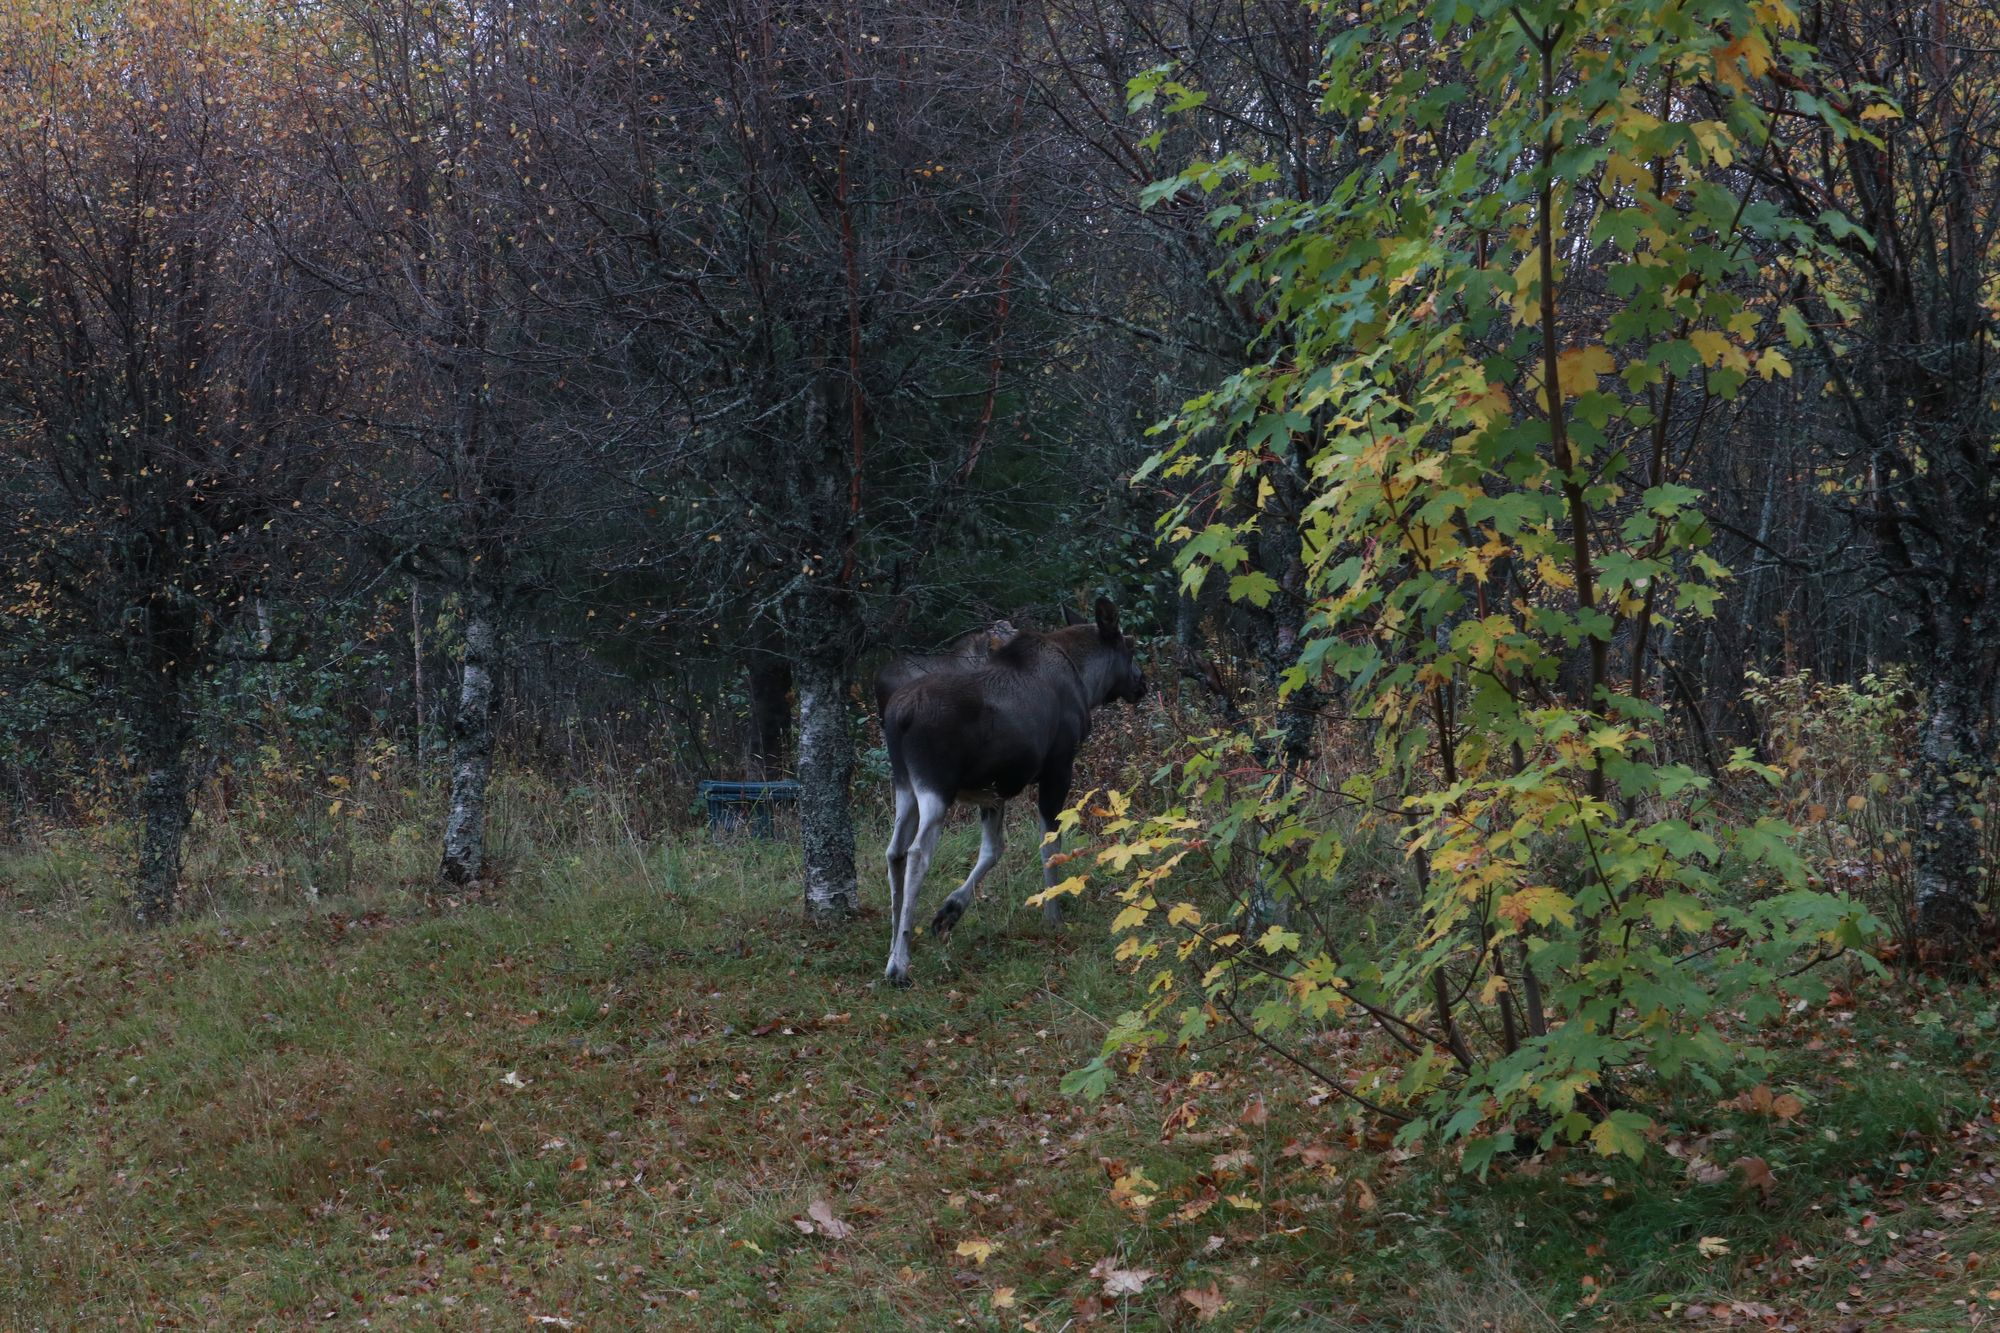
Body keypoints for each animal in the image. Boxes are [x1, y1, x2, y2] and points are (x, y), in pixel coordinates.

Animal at [876, 596, 1144, 980]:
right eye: (1131, 644)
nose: (1142, 682)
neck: (1087, 681)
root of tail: (899, 716)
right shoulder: (1058, 768)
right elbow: (1050, 844)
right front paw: (1053, 915)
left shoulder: (993, 790)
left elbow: (993, 849)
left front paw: (950, 912)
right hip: (935, 785)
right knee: (917, 853)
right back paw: (900, 963)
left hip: (904, 784)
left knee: (894, 852)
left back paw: (893, 946)